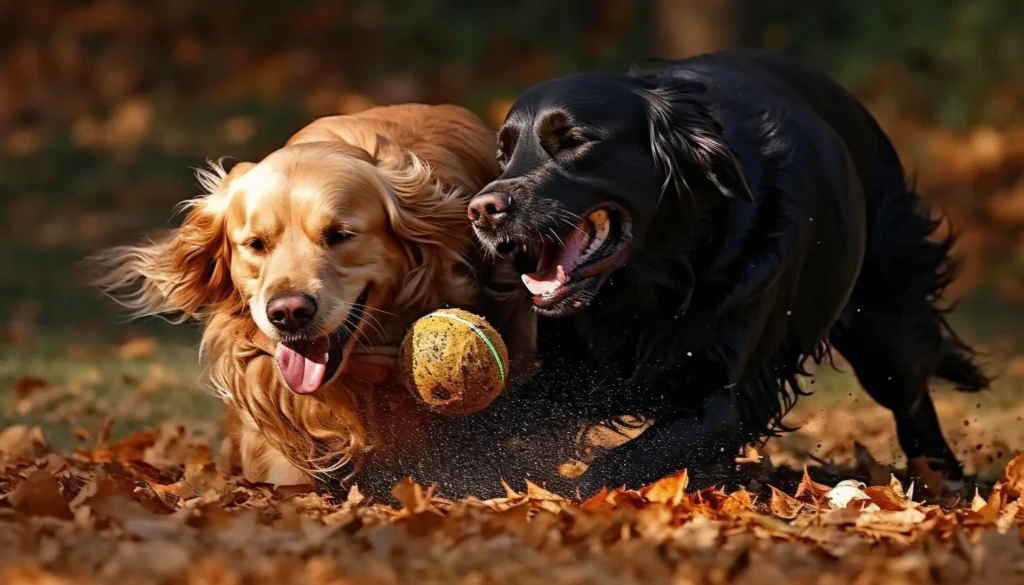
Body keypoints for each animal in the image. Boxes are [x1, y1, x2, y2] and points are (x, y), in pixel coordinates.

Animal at [466, 50, 991, 493]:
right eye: (503, 154)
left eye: (574, 141)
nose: (482, 210)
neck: (657, 277)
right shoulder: (565, 372)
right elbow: (489, 419)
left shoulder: (718, 399)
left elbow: (620, 463)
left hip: (884, 334)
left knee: (912, 395)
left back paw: (944, 478)